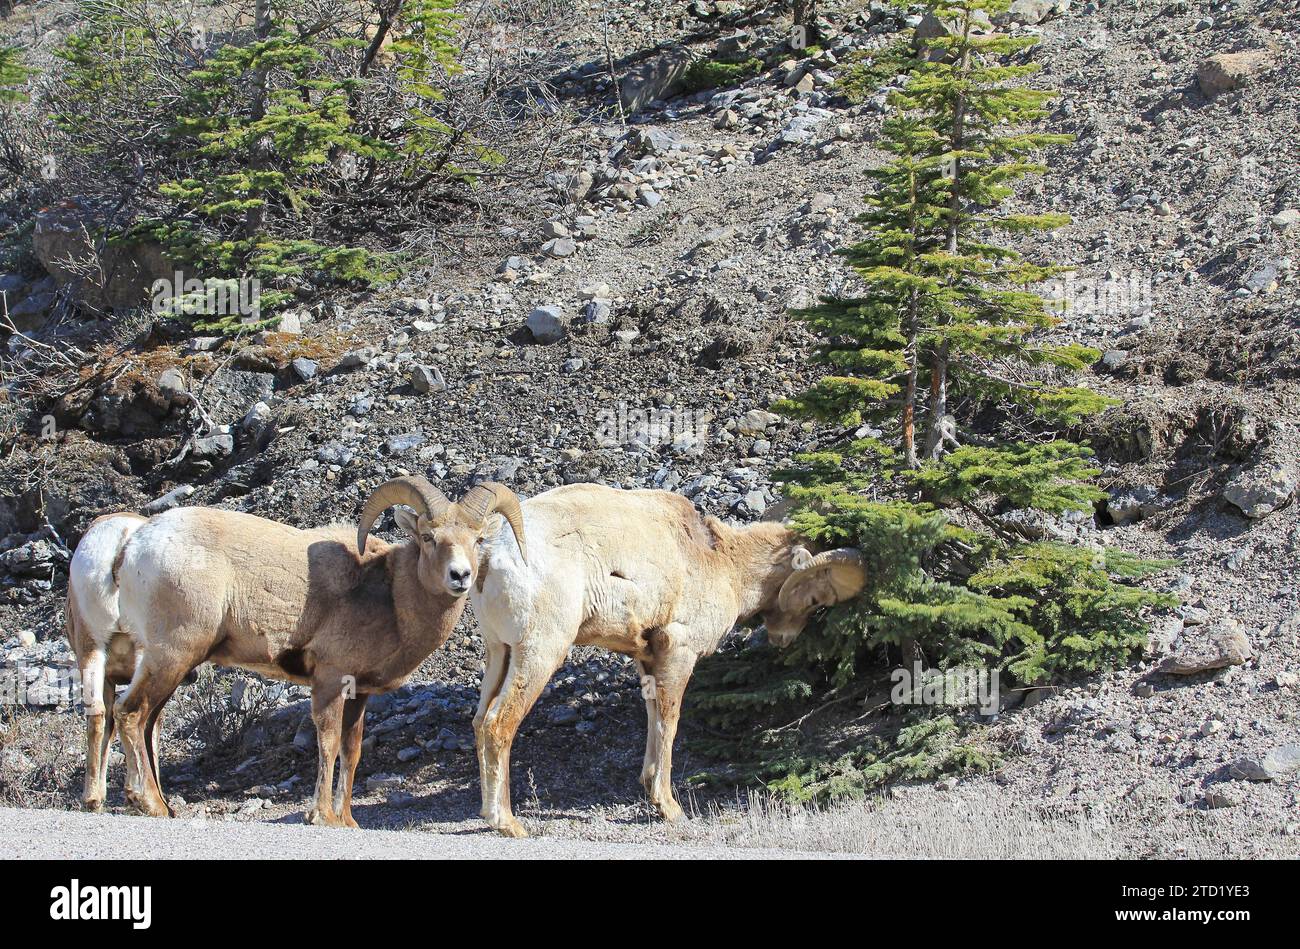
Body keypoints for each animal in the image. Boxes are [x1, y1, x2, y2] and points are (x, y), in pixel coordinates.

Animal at [97, 475, 522, 826]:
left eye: (478, 540)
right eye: (429, 537)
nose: (460, 576)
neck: (392, 598)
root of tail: (133, 545)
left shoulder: (358, 693)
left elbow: (351, 751)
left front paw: (347, 820)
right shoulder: (330, 681)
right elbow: (328, 743)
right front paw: (322, 817)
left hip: (170, 664)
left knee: (145, 722)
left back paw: (161, 805)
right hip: (172, 655)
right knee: (131, 714)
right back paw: (150, 805)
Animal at [462, 483, 868, 832]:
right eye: (814, 598)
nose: (785, 638)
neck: (721, 562)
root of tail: (491, 556)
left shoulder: (646, 658)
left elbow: (654, 715)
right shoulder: (679, 652)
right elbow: (670, 722)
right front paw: (669, 807)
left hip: (500, 653)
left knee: (480, 721)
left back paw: (487, 814)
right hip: (539, 652)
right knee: (499, 724)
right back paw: (507, 824)